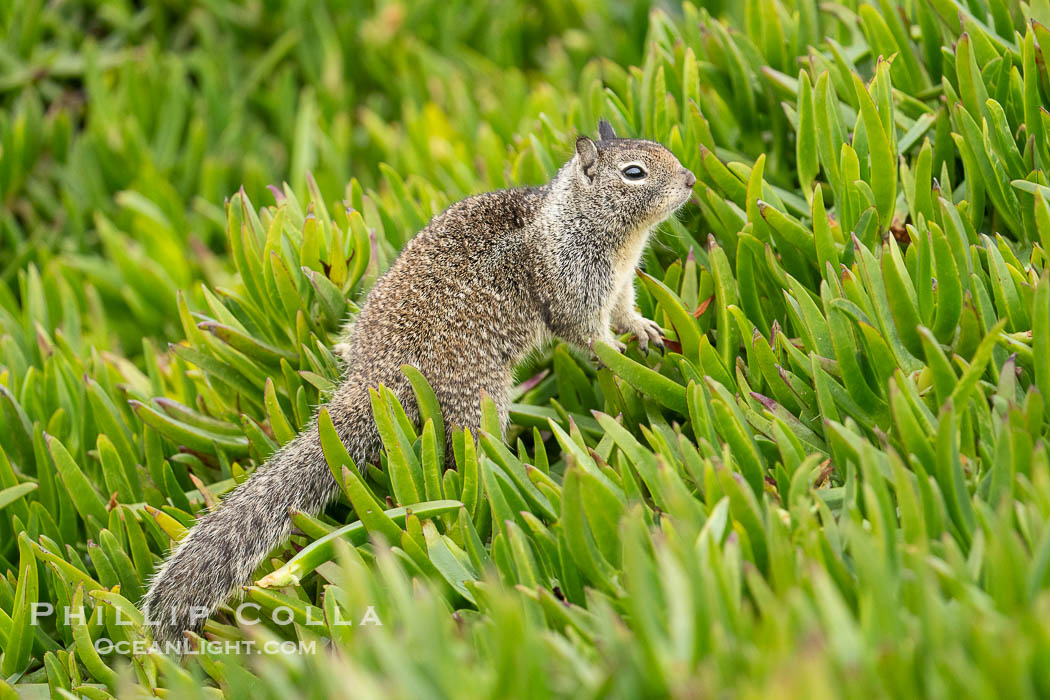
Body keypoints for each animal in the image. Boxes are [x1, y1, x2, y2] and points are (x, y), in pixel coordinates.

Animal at [139, 120, 697, 646]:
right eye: (634, 173)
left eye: (663, 152)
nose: (691, 179)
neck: (581, 221)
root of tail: (376, 378)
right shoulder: (574, 285)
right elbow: (585, 331)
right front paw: (614, 354)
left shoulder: (619, 285)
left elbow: (624, 313)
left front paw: (644, 331)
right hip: (475, 395)